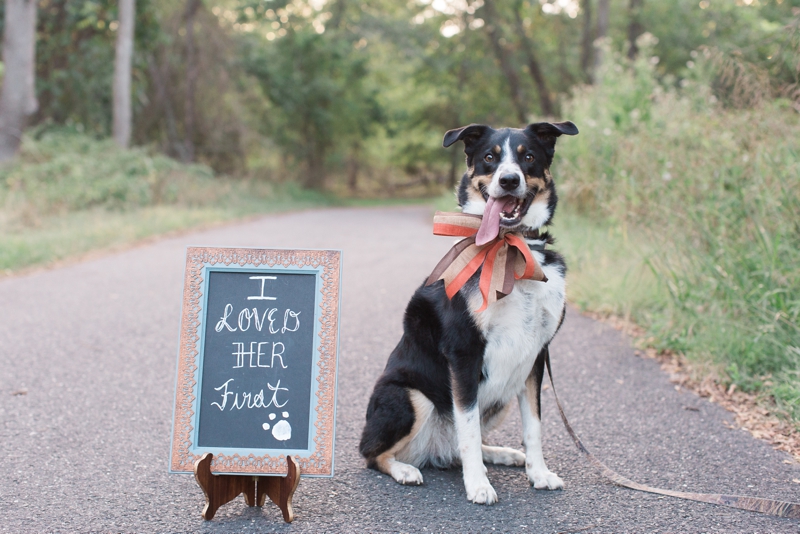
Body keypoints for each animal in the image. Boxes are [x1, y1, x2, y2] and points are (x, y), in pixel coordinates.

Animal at [360, 121, 580, 506]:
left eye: (528, 157)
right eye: (490, 157)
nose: (508, 180)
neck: (510, 250)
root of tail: (433, 451)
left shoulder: (536, 356)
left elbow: (533, 426)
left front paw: (538, 474)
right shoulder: (464, 352)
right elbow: (468, 428)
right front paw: (478, 485)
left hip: (503, 393)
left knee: (462, 445)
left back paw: (502, 454)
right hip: (410, 395)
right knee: (374, 454)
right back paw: (405, 470)